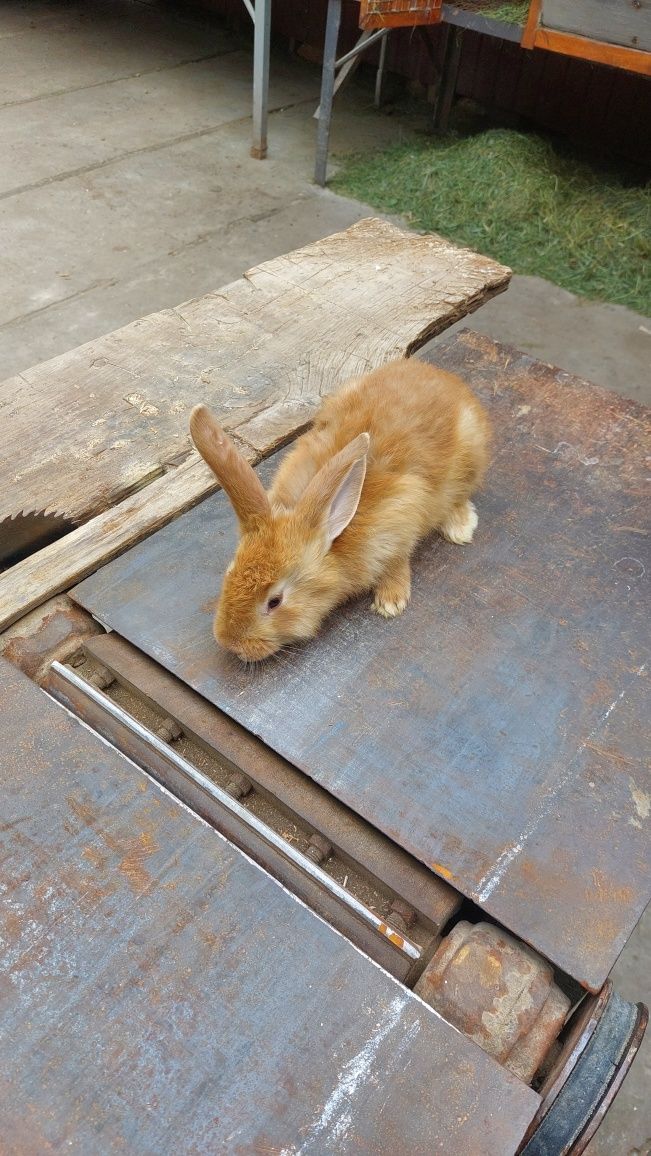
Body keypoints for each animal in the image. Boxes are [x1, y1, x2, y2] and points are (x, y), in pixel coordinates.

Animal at [190, 356, 492, 665]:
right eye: (229, 571)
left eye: (275, 601)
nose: (230, 643)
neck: (334, 536)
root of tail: (444, 378)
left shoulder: (401, 518)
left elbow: (397, 561)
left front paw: (391, 602)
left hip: (470, 459)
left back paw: (460, 527)